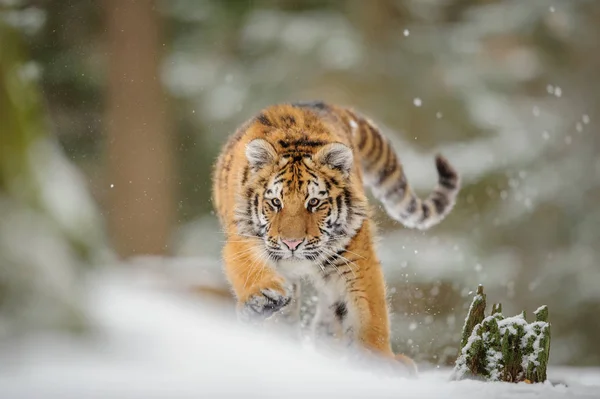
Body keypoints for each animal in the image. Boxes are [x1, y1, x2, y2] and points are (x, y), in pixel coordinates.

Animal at [211, 100, 460, 372]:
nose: (291, 243)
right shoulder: (243, 237)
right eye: (276, 202)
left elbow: (370, 309)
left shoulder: (355, 256)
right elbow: (250, 267)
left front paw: (380, 361)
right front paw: (262, 298)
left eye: (314, 202)